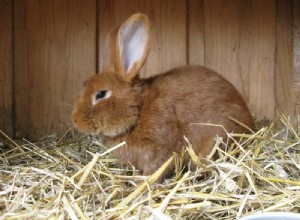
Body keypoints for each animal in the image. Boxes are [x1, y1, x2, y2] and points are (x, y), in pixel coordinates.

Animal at [72, 12, 253, 180]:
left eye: (101, 94)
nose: (75, 119)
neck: (139, 109)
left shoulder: (160, 151)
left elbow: (157, 169)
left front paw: (143, 183)